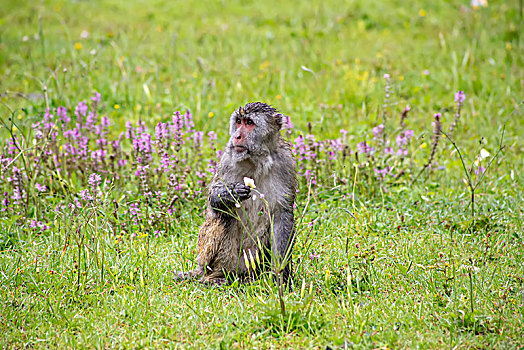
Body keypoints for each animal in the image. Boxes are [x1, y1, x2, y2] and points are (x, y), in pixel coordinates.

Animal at [176, 101, 296, 288]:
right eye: (239, 122)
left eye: (249, 123)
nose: (237, 136)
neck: (257, 160)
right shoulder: (227, 160)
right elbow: (213, 200)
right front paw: (228, 194)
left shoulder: (285, 164)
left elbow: (281, 215)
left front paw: (281, 278)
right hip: (206, 257)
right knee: (225, 217)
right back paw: (217, 277)